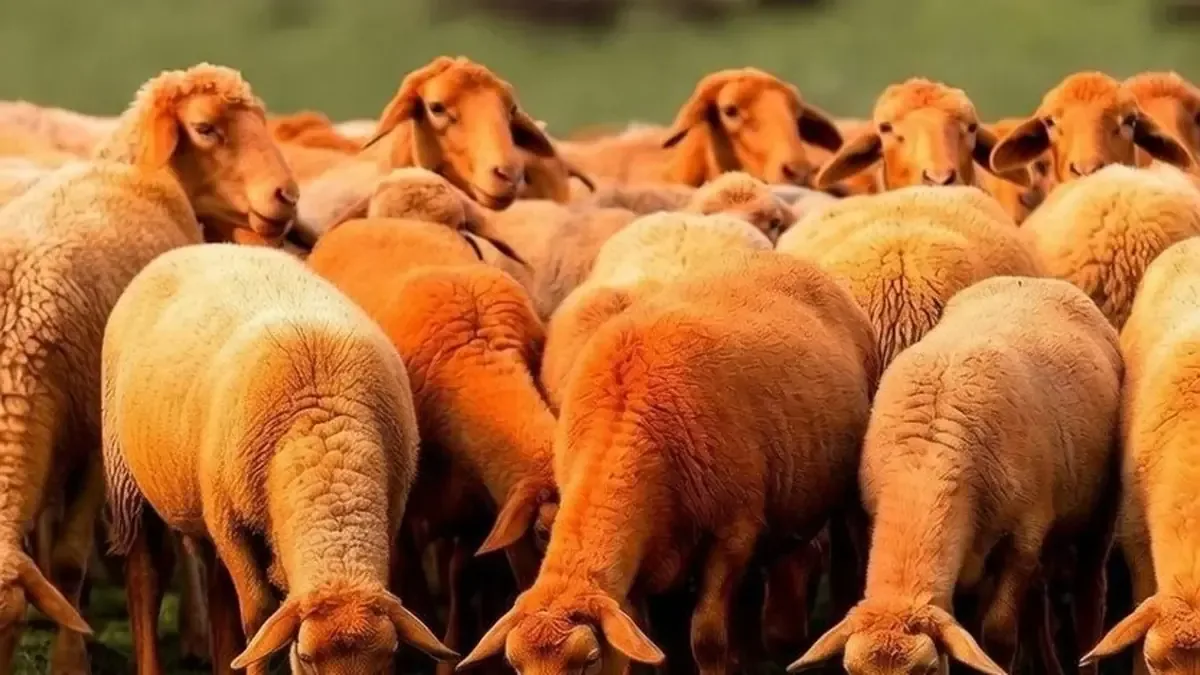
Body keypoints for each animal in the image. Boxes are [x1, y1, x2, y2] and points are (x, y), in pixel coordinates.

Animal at [0, 63, 297, 675]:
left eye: (10, 629)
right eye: (206, 128)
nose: (288, 195)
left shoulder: (98, 443)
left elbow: (67, 563)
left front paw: (71, 661)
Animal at [101, 244, 456, 675]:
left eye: (390, 655)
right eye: (306, 657)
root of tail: (199, 247)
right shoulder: (232, 524)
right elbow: (259, 619)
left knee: (217, 589)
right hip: (127, 478)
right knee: (145, 576)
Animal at [457, 247, 878, 675]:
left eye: (589, 660)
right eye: (514, 664)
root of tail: (790, 261)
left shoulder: (733, 534)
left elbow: (707, 639)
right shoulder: (637, 568)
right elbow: (649, 644)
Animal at [791, 275, 1122, 675]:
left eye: (928, 670)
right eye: (851, 670)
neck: (925, 469)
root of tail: (1035, 281)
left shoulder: (1022, 540)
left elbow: (998, 634)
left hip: (1099, 514)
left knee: (1090, 593)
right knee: (1038, 597)